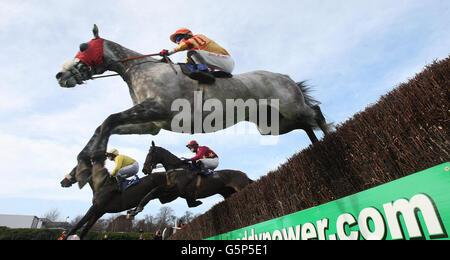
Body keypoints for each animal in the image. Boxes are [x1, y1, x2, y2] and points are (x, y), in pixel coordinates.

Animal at [55, 25, 330, 192]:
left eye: (83, 47)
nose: (60, 75)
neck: (140, 70)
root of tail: (285, 76)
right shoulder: (151, 124)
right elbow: (103, 126)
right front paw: (80, 168)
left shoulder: (159, 109)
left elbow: (109, 120)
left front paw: (93, 171)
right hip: (273, 124)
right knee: (306, 124)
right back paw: (317, 147)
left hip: (291, 107)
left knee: (315, 114)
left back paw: (330, 140)